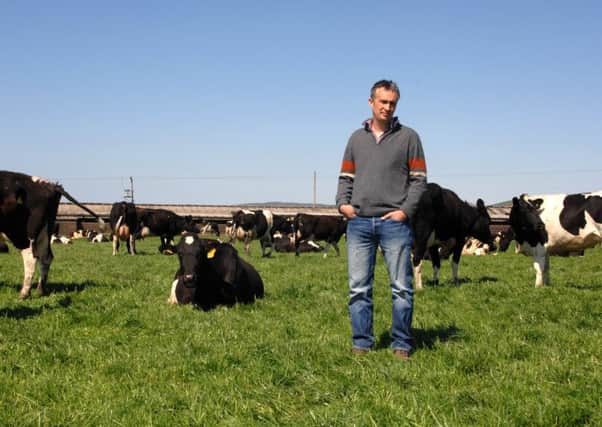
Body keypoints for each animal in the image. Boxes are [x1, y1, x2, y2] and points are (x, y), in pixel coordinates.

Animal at [0, 172, 104, 300]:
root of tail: (51, 185)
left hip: (23, 234)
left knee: (30, 258)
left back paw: (24, 294)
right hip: (45, 232)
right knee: (46, 257)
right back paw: (40, 291)